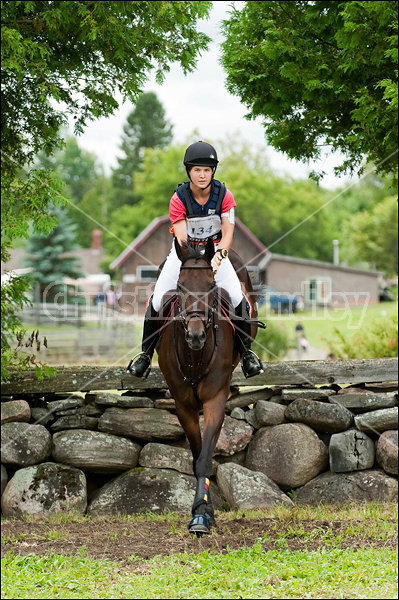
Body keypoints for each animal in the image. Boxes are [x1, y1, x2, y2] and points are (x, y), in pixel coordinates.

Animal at [158, 238, 264, 536]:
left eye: (211, 287)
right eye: (180, 286)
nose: (195, 335)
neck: (195, 356)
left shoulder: (216, 400)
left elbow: (206, 457)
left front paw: (201, 516)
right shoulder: (184, 406)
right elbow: (197, 458)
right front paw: (202, 510)